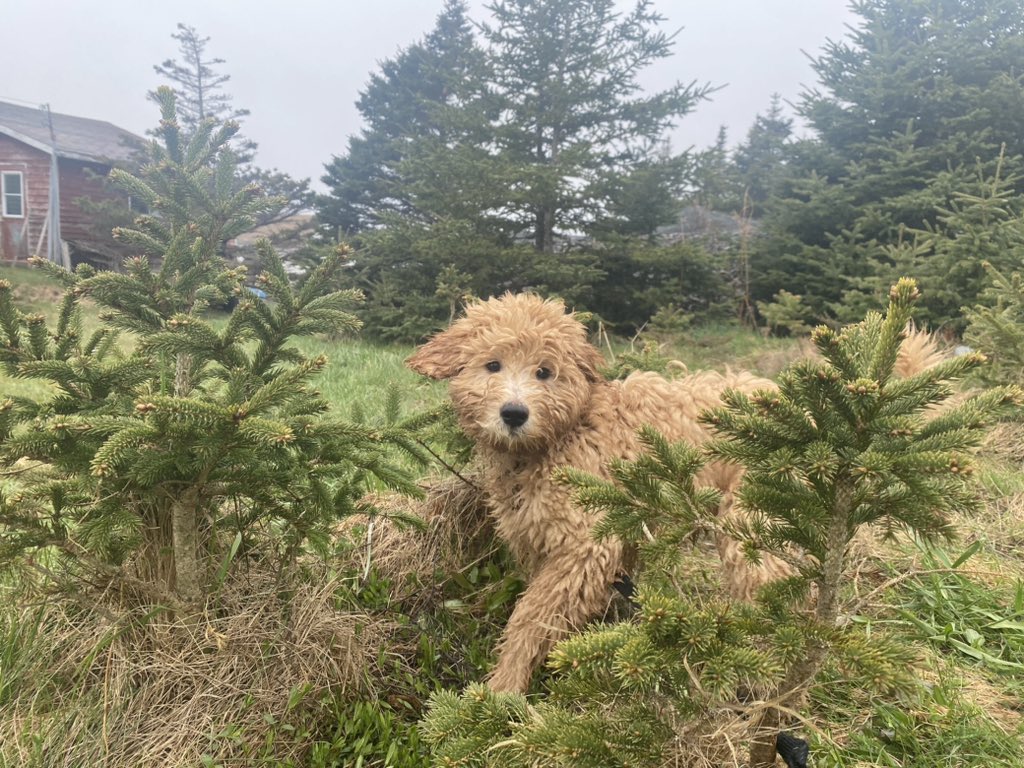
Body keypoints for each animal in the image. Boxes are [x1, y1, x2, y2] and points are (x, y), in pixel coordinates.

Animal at [407, 292, 790, 692]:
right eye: (492, 365)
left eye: (544, 371)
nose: (514, 413)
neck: (564, 435)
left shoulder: (584, 541)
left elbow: (533, 614)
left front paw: (505, 685)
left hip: (751, 516)